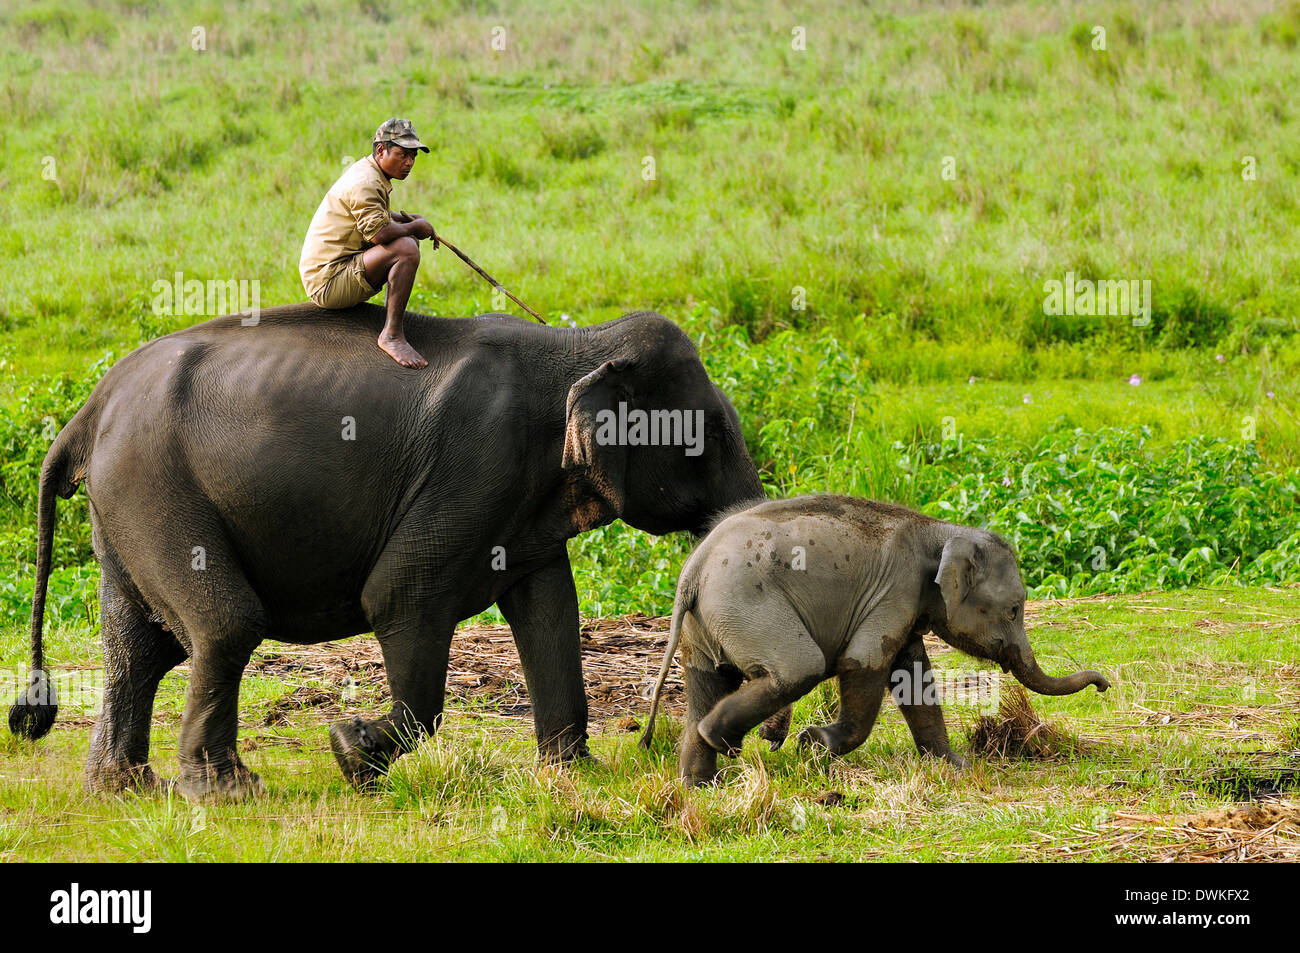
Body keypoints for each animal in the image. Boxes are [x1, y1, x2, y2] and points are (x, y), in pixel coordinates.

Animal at [7, 302, 759, 795]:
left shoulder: (522, 501)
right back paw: (227, 791)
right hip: (154, 488)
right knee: (223, 626)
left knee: (138, 646)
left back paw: (123, 789)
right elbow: (399, 595)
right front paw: (350, 752)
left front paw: (571, 778)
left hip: (125, 504)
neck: (577, 348)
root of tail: (88, 410)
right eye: (712, 436)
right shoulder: (473, 467)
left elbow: (549, 608)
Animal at [639, 494, 1107, 785]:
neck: (938, 530)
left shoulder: (905, 604)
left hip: (705, 625)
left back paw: (700, 785)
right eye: (1013, 610)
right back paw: (722, 741)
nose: (1102, 684)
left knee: (707, 685)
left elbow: (914, 678)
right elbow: (863, 663)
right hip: (744, 604)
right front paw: (814, 744)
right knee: (798, 668)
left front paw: (955, 767)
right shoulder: (895, 590)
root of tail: (692, 570)